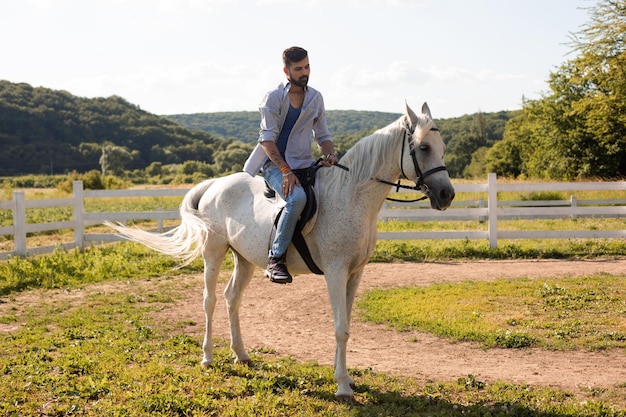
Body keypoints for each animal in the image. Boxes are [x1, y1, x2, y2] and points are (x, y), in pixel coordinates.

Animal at [108, 101, 454, 400]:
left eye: (442, 147)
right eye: (423, 148)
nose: (446, 195)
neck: (352, 195)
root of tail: (214, 184)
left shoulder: (355, 273)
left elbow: (346, 325)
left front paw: (345, 376)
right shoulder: (336, 272)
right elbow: (340, 328)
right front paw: (343, 387)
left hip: (244, 259)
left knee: (231, 298)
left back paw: (241, 354)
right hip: (214, 252)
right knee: (209, 301)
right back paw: (207, 358)